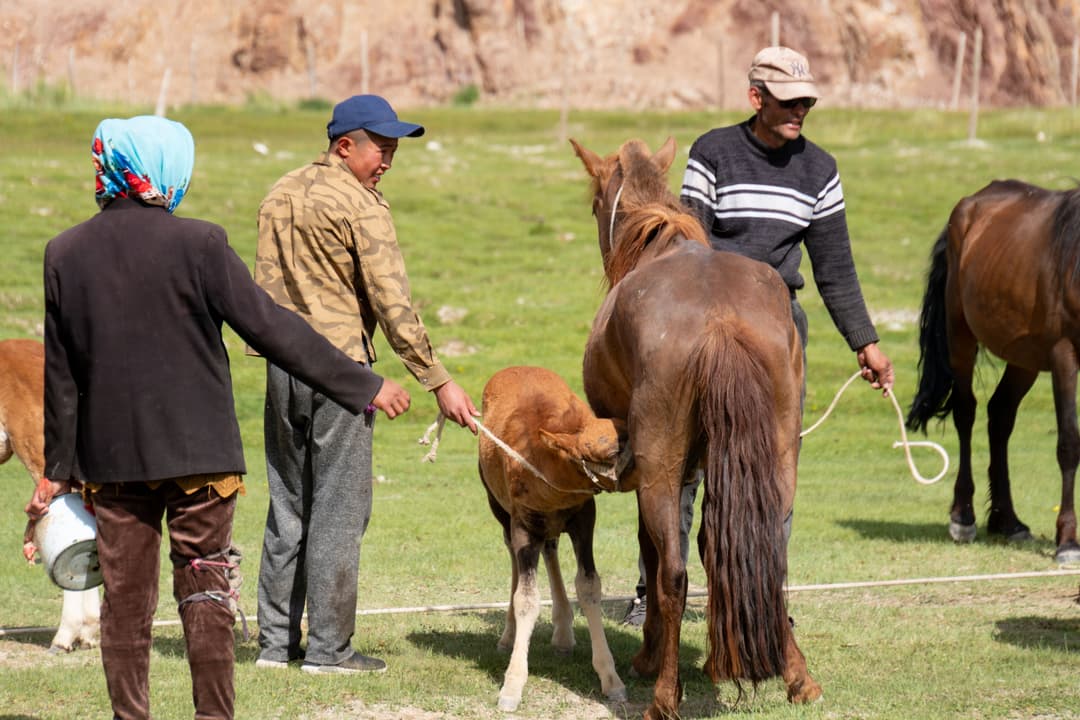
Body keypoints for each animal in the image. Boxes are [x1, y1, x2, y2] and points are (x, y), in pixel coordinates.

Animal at [478, 365, 627, 712]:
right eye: (611, 451)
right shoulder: (523, 522)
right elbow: (526, 597)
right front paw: (512, 686)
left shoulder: (584, 516)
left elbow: (588, 585)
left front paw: (610, 678)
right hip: (501, 510)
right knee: (514, 556)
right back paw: (508, 635)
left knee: (550, 547)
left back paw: (562, 632)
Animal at [570, 137, 821, 718]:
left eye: (594, 202)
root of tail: (719, 320)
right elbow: (714, 547)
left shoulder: (650, 467)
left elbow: (654, 549)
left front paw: (649, 656)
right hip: (777, 456)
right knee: (768, 557)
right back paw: (797, 677)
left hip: (660, 466)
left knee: (672, 573)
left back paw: (664, 696)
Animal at [906, 179, 1080, 565]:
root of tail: (971, 204)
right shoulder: (1064, 356)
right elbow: (1068, 443)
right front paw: (1067, 541)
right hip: (960, 337)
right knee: (966, 413)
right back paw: (963, 517)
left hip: (1024, 358)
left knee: (999, 415)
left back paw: (1008, 521)